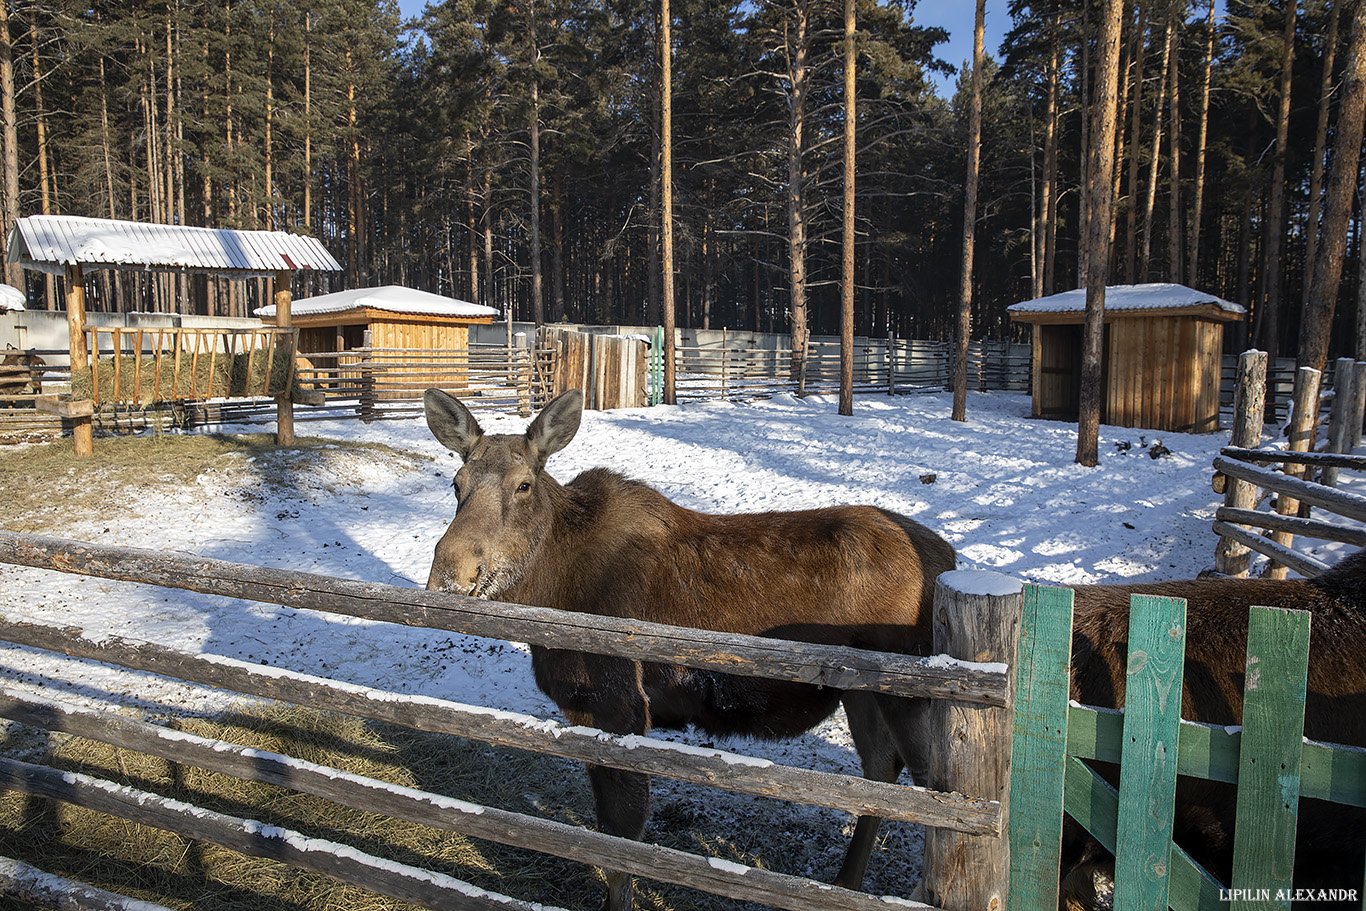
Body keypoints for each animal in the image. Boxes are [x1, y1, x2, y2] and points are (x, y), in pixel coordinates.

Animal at [420, 387, 956, 906]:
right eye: (456, 484)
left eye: (523, 485)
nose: (449, 575)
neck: (552, 590)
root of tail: (949, 558)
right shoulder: (587, 713)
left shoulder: (621, 707)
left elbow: (621, 844)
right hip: (860, 692)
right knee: (881, 771)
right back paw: (846, 883)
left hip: (910, 693)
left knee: (935, 789)